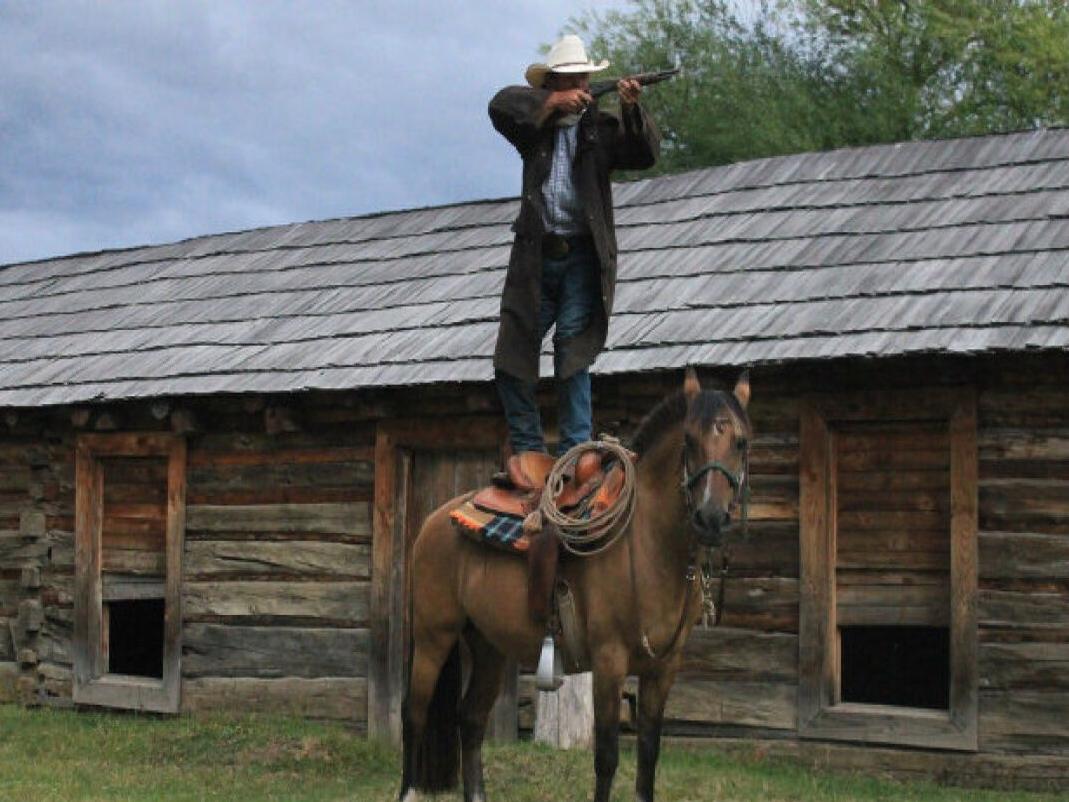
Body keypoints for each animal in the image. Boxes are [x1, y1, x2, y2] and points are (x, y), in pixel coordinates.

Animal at [399, 369, 752, 802]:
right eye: (689, 439)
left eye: (740, 441)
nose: (711, 518)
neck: (649, 544)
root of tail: (435, 520)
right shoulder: (609, 661)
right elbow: (607, 759)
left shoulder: (663, 668)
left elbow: (648, 757)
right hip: (434, 635)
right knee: (414, 713)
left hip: (488, 645)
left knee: (471, 718)